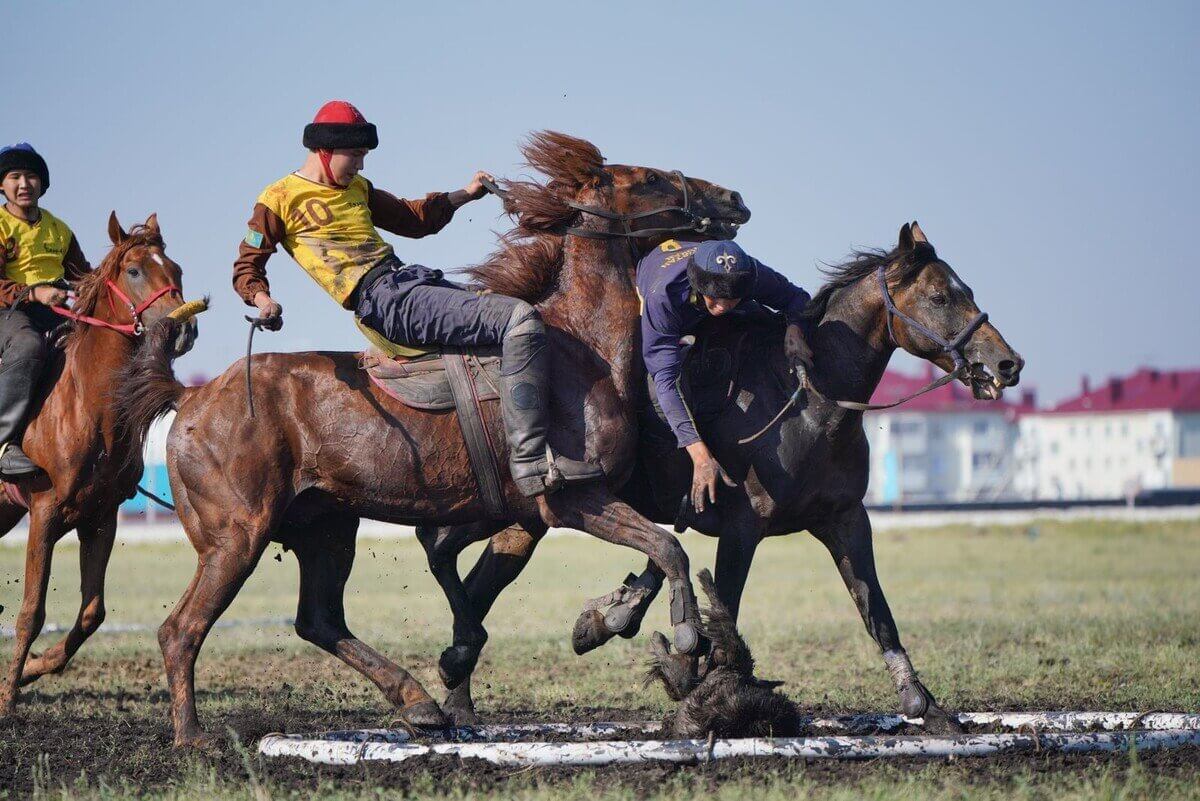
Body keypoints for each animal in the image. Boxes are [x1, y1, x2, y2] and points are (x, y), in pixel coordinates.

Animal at [0, 212, 196, 714]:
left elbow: (92, 612)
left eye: (176, 268)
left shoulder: (100, 517)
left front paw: (31, 670)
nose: (183, 330)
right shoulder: (44, 514)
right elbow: (31, 612)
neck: (85, 404)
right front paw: (8, 697)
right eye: (134, 270)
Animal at [114, 130, 748, 743]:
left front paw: (605, 622)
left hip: (326, 530)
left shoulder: (516, 517)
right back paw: (192, 736)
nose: (733, 198)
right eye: (651, 178)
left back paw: (418, 702)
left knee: (319, 619)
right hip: (236, 538)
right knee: (182, 629)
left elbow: (643, 553)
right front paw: (682, 640)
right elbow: (667, 547)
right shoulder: (573, 499)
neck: (579, 350)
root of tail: (192, 398)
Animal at [412, 220, 1022, 733]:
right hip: (528, 510)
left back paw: (461, 698)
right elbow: (723, 608)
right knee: (453, 560)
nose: (1007, 364)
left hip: (527, 518)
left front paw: (925, 704)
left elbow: (877, 612)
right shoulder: (743, 529)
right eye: (941, 296)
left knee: (475, 583)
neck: (806, 402)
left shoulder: (846, 520)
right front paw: (701, 689)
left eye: (965, 289)